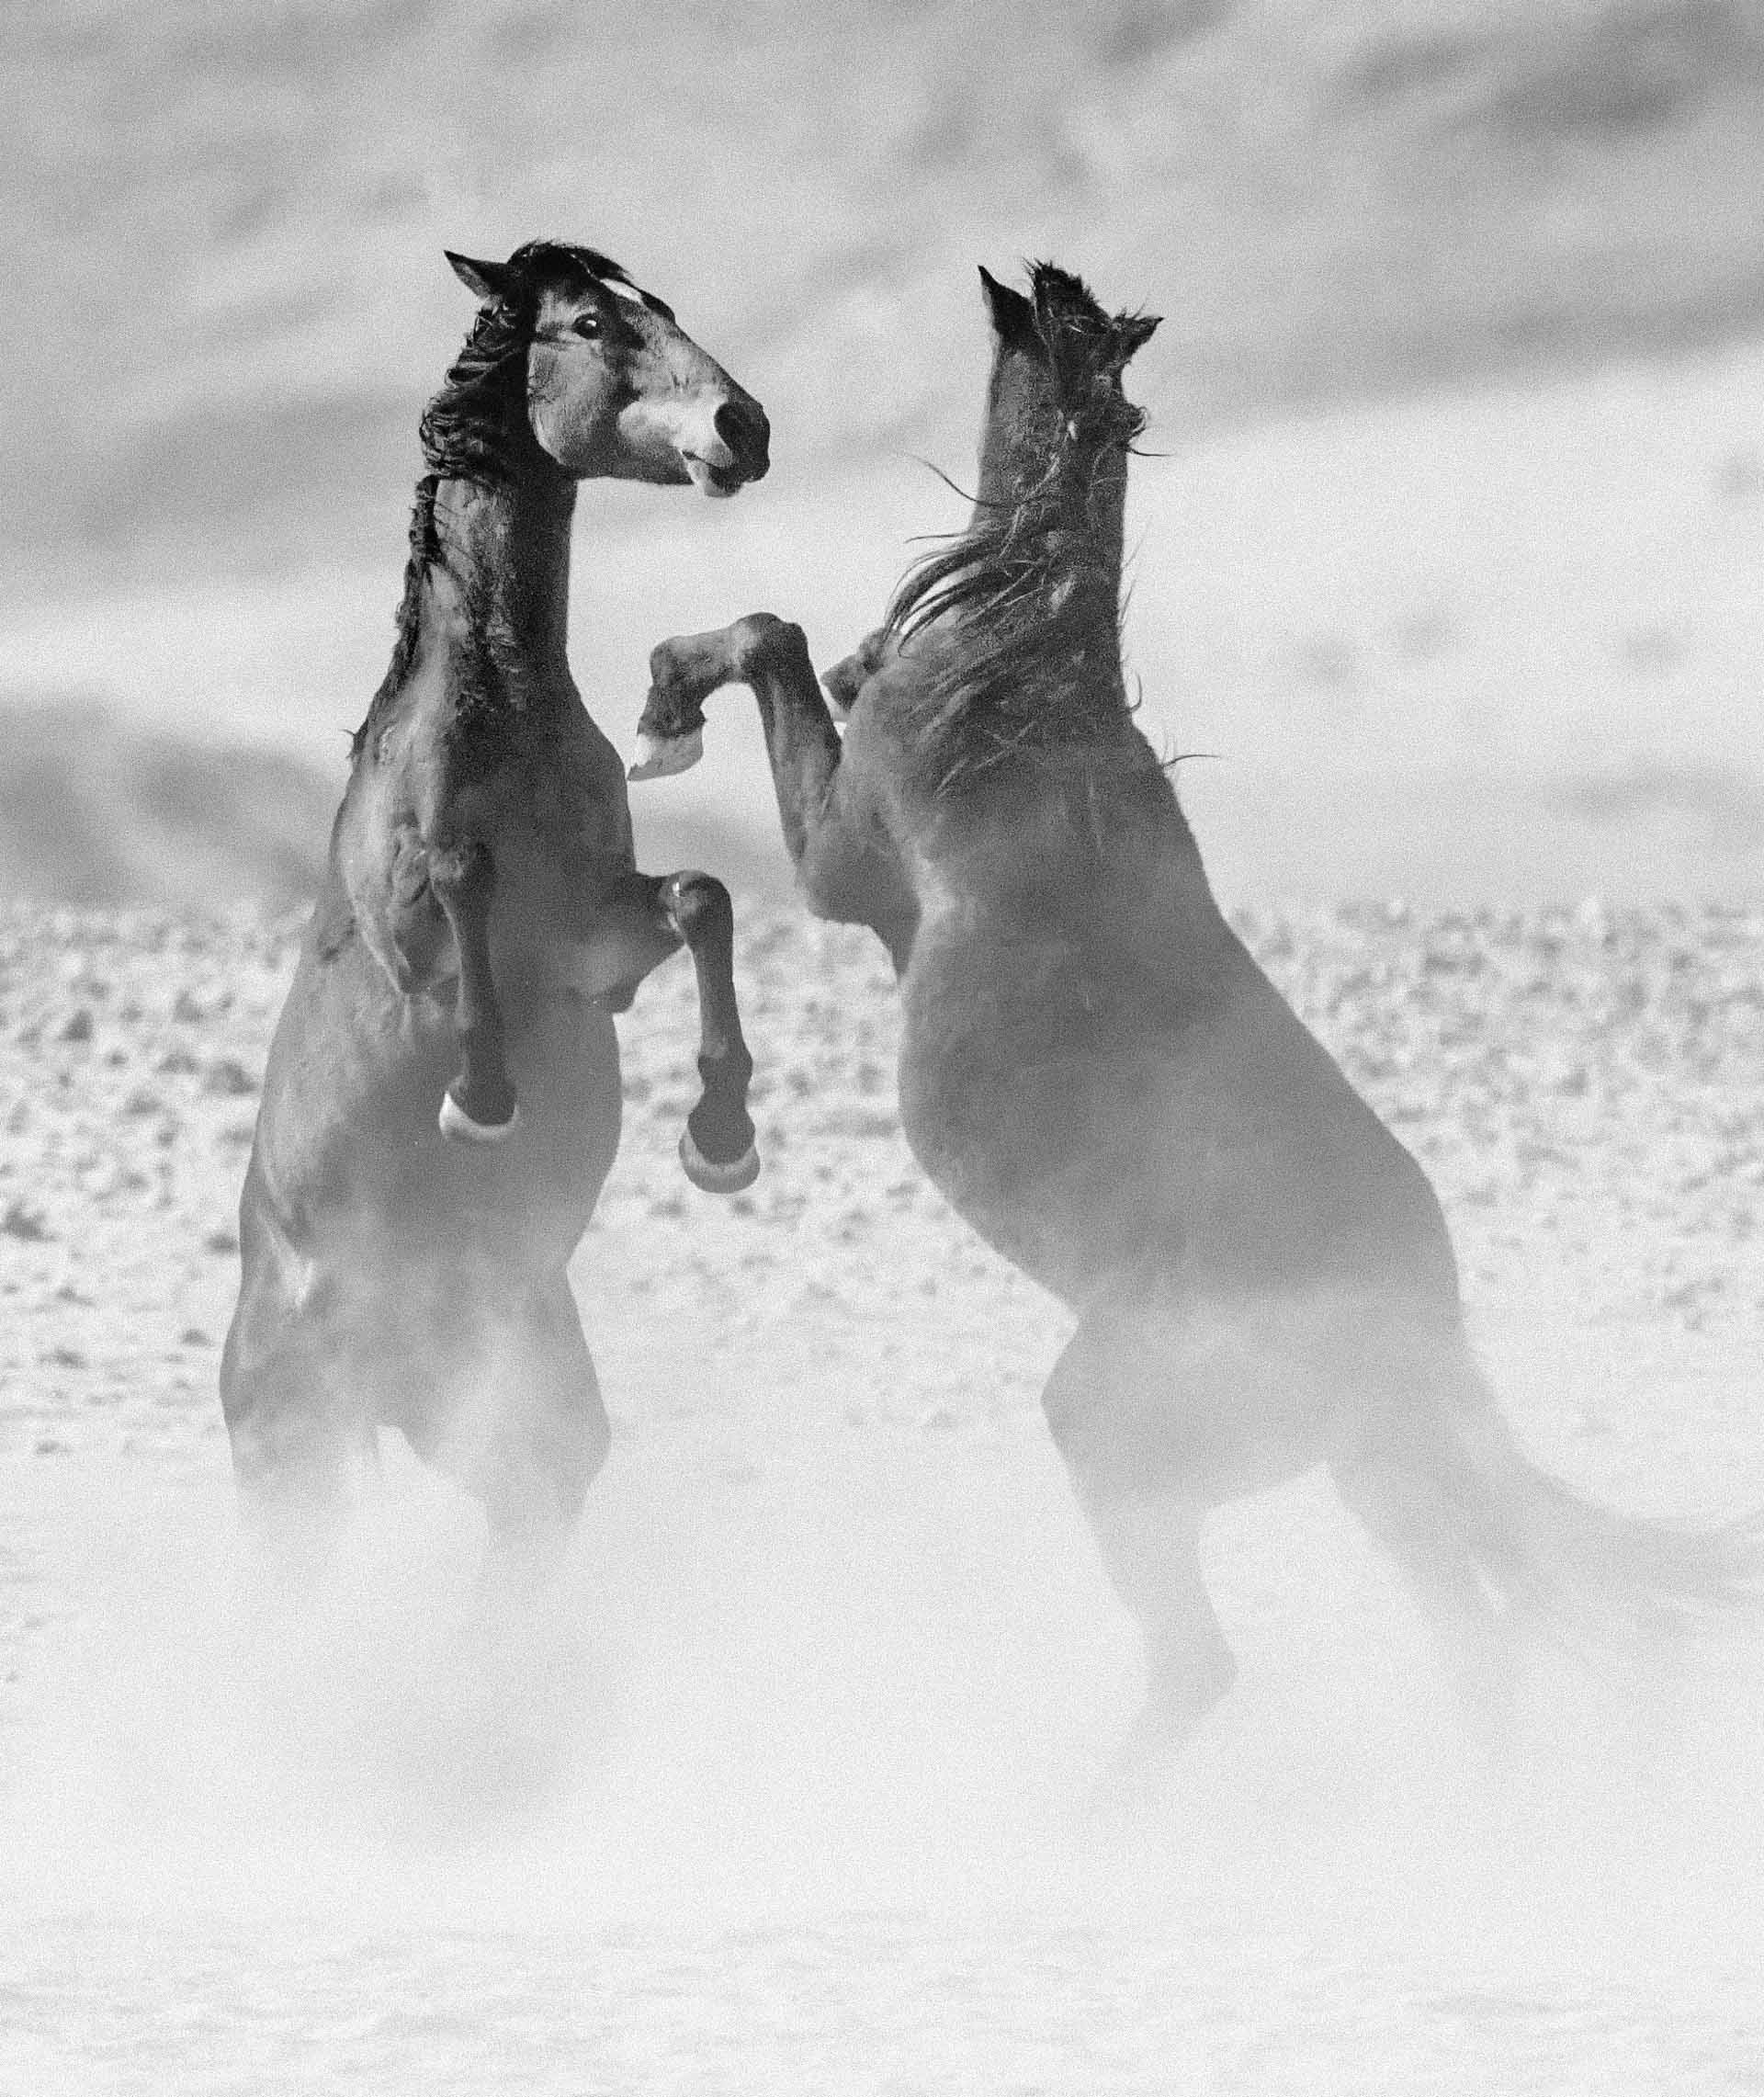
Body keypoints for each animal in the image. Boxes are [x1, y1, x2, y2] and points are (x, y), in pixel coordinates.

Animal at [221, 240, 771, 1579]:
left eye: (660, 307)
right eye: (589, 323)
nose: (743, 427)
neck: (504, 723)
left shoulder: (600, 950)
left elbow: (702, 895)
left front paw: (721, 1135)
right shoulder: (418, 939)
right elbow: (464, 885)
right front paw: (482, 1097)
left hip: (515, 1425)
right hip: (298, 1461)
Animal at [632, 261, 1763, 1785]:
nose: (741, 426)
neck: (1020, 678)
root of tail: (1421, 1322)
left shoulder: (840, 866)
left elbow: (770, 634)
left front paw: (663, 701)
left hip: (1123, 1426)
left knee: (1215, 1660)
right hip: (1380, 1472)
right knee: (1482, 1634)